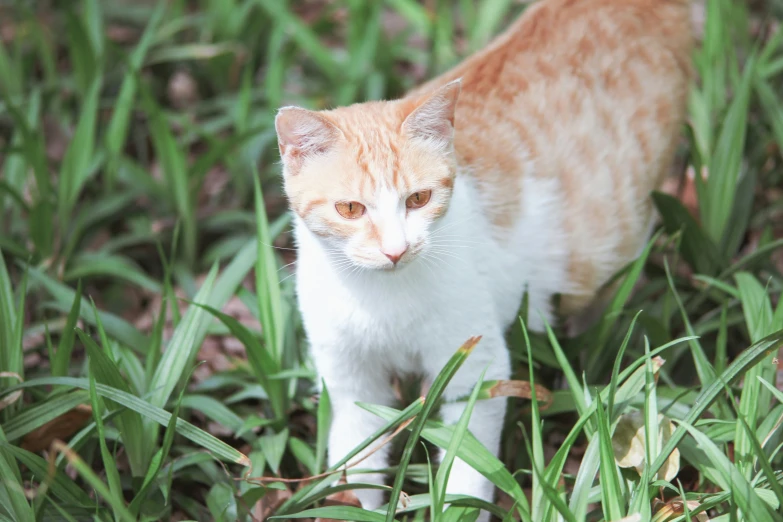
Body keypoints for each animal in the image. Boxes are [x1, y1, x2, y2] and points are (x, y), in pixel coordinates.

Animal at [272, 0, 688, 512]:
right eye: (350, 208)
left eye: (419, 199)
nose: (396, 249)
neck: (381, 298)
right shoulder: (350, 383)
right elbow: (357, 460)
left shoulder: (476, 369)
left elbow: (466, 466)